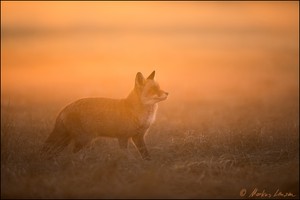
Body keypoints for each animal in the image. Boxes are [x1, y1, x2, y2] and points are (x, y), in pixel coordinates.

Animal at [41, 71, 169, 160]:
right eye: (153, 89)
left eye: (159, 87)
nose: (167, 93)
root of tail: (65, 108)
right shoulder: (123, 137)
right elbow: (126, 155)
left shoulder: (138, 137)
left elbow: (146, 154)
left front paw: (148, 164)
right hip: (83, 141)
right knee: (73, 155)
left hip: (71, 140)